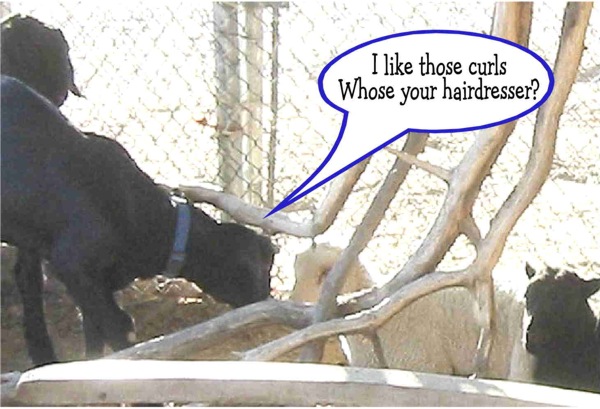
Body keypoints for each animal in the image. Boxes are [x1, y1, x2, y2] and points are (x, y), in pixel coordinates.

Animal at [1, 76, 276, 366]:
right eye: (258, 272)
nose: (266, 300)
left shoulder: (98, 283)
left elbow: (94, 334)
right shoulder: (73, 267)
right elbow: (117, 327)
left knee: (27, 279)